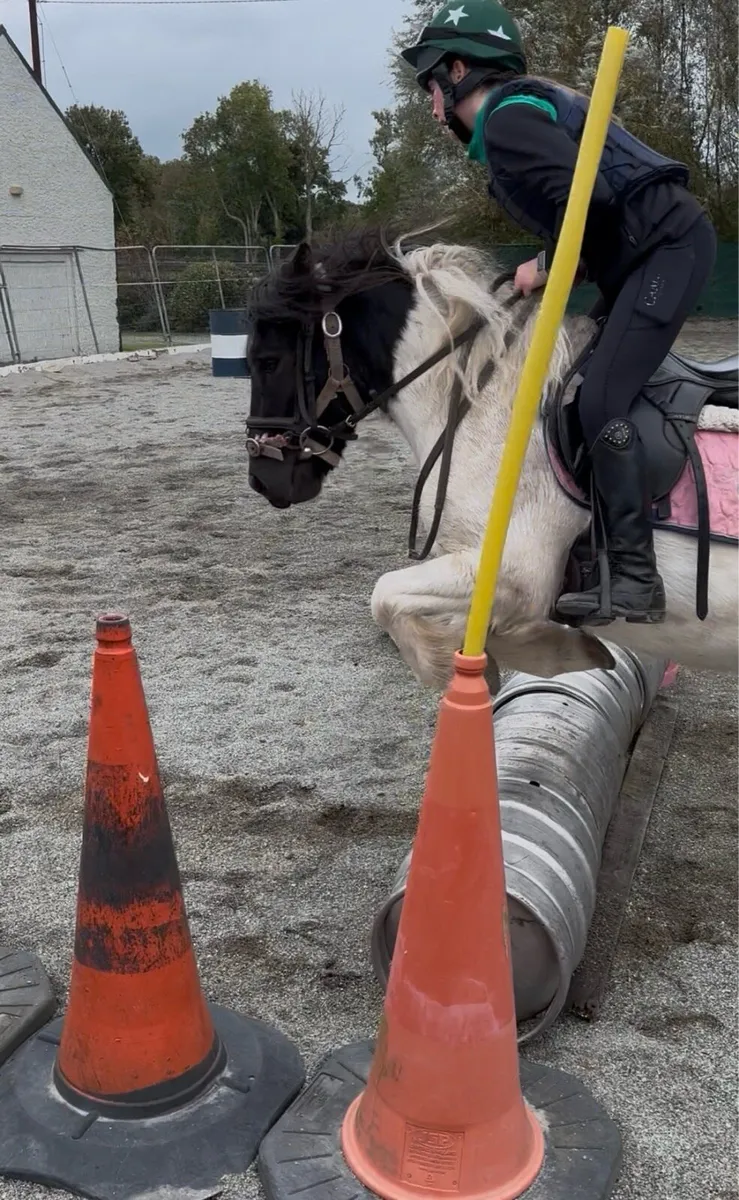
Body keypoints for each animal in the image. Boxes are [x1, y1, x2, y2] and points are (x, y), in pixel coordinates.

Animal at [245, 228, 738, 691]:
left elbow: (385, 598)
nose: (262, 479)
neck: (490, 402)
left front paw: (474, 673)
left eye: (267, 362)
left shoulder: (512, 573)